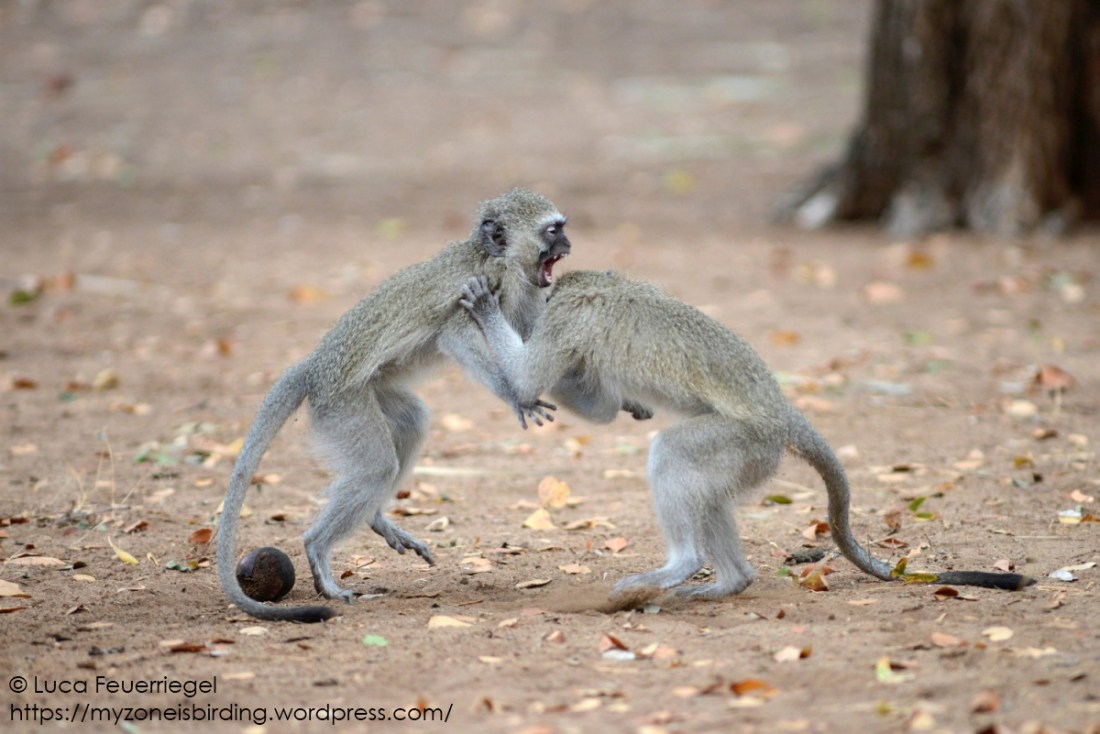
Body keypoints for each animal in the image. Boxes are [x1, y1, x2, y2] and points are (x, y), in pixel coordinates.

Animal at [217, 189, 570, 623]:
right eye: (552, 231)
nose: (568, 244)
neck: (498, 259)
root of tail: (315, 367)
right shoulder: (482, 288)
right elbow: (455, 335)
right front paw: (514, 394)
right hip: (341, 405)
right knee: (376, 467)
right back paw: (319, 549)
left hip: (372, 391)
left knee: (412, 422)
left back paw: (375, 517)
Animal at [459, 271, 1033, 597]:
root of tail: (780, 412)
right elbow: (597, 407)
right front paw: (627, 404)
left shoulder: (567, 319)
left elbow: (529, 377)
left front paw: (486, 313)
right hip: (752, 456)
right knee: (707, 491)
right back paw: (732, 583)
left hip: (747, 442)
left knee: (673, 456)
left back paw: (684, 566)